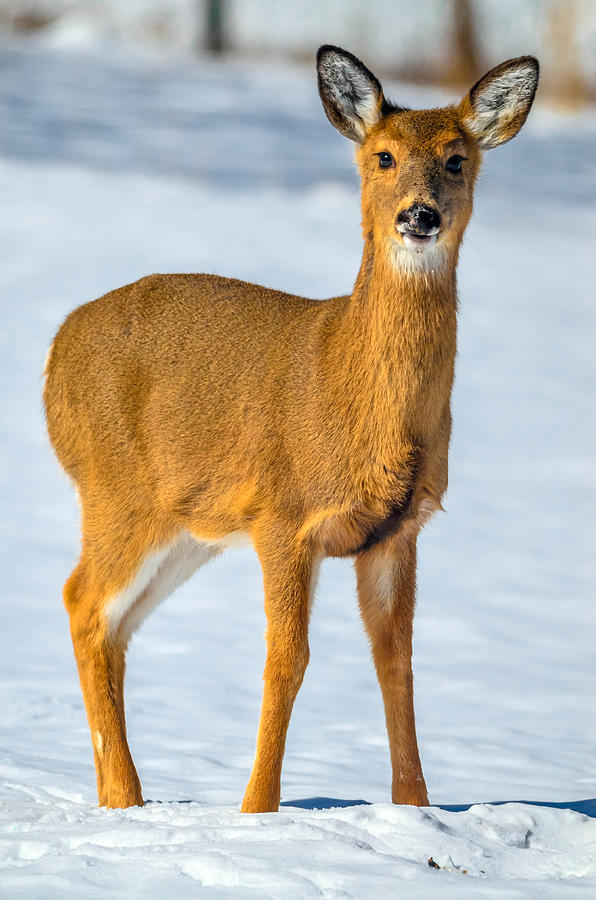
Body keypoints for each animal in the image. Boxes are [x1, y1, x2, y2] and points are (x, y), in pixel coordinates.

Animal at [44, 45, 540, 812]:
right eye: (384, 156)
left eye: (457, 159)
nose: (420, 215)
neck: (353, 392)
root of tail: (53, 353)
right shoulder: (283, 515)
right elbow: (288, 658)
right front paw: (258, 809)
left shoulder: (398, 531)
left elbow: (397, 661)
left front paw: (415, 806)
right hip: (117, 491)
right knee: (82, 601)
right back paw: (127, 796)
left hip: (189, 528)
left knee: (112, 620)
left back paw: (118, 798)